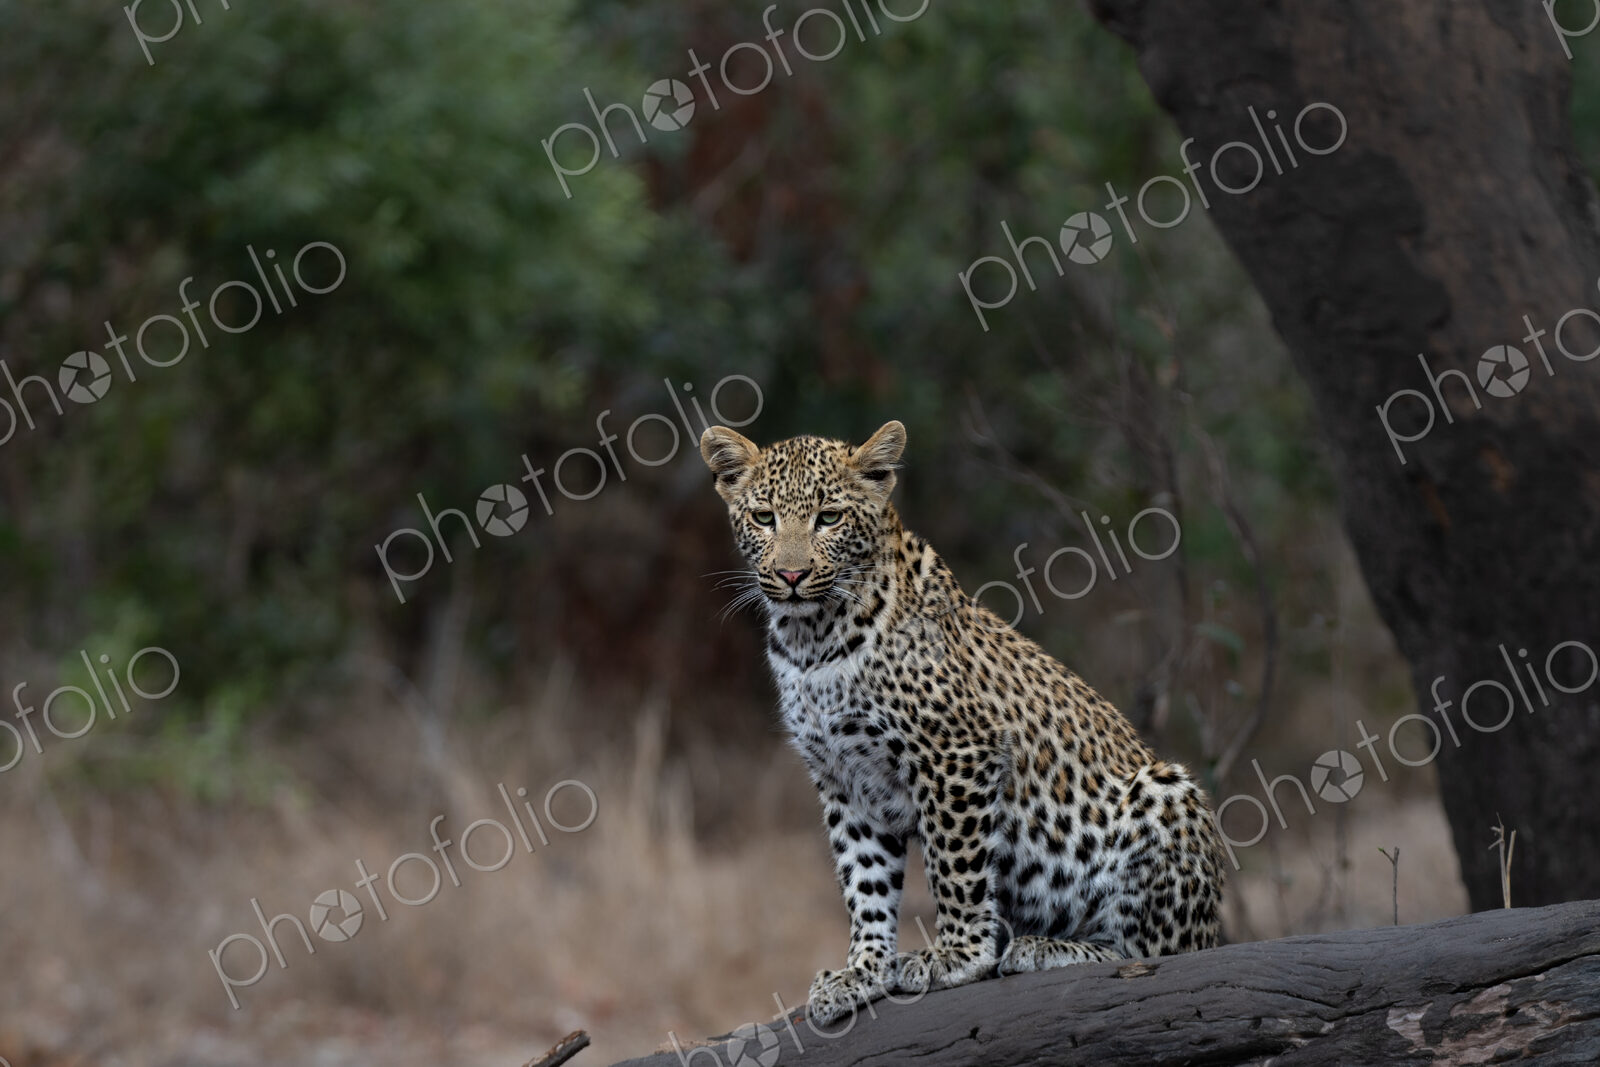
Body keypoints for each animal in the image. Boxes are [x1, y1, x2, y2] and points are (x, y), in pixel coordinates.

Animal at [699, 419, 1225, 1026]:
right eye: (764, 518)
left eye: (828, 518)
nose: (790, 574)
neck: (811, 640)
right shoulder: (844, 779)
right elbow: (864, 880)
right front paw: (862, 971)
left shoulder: (955, 754)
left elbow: (955, 866)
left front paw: (958, 955)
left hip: (1166, 790)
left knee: (1154, 951)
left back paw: (1045, 947)